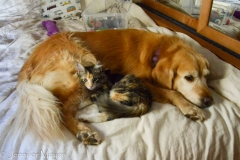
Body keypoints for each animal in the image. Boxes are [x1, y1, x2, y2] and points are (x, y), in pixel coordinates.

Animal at [15, 28, 213, 145]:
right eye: (189, 77)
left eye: (206, 77)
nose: (209, 101)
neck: (157, 53)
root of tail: (29, 61)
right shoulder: (142, 80)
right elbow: (172, 92)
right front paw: (191, 108)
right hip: (82, 61)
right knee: (64, 110)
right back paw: (84, 132)